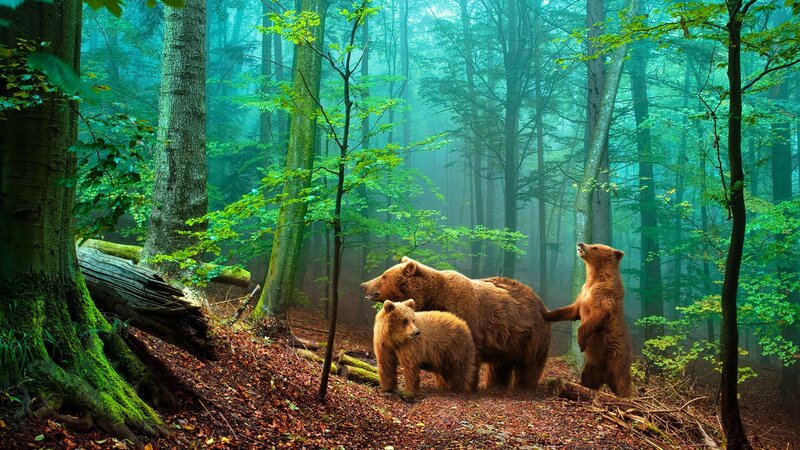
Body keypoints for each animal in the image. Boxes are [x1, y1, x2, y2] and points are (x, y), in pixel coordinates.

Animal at [362, 257, 550, 390]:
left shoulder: (466, 319)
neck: (432, 298)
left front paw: (461, 385)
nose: (364, 284)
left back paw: (524, 386)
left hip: (531, 337)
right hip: (508, 342)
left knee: (529, 365)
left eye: (384, 276)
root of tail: (543, 304)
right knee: (500, 366)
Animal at [543, 242, 633, 397]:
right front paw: (546, 313)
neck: (594, 279)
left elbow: (596, 315)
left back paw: (627, 396)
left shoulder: (603, 296)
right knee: (588, 379)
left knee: (622, 380)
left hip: (616, 357)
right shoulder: (583, 294)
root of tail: (605, 377)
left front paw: (581, 343)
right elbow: (570, 311)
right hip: (592, 367)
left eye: (596, 247)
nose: (580, 243)